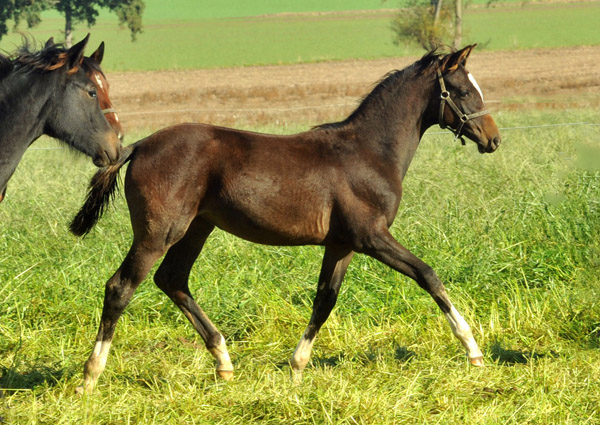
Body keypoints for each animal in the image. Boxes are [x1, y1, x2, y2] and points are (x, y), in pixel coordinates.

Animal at [71, 44, 502, 392]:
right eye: (463, 91)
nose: (493, 139)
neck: (369, 152)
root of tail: (141, 145)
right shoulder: (371, 236)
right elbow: (428, 275)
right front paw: (473, 349)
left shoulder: (341, 244)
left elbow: (325, 299)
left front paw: (296, 367)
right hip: (159, 232)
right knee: (121, 286)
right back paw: (90, 376)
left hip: (196, 228)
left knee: (173, 280)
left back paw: (224, 363)